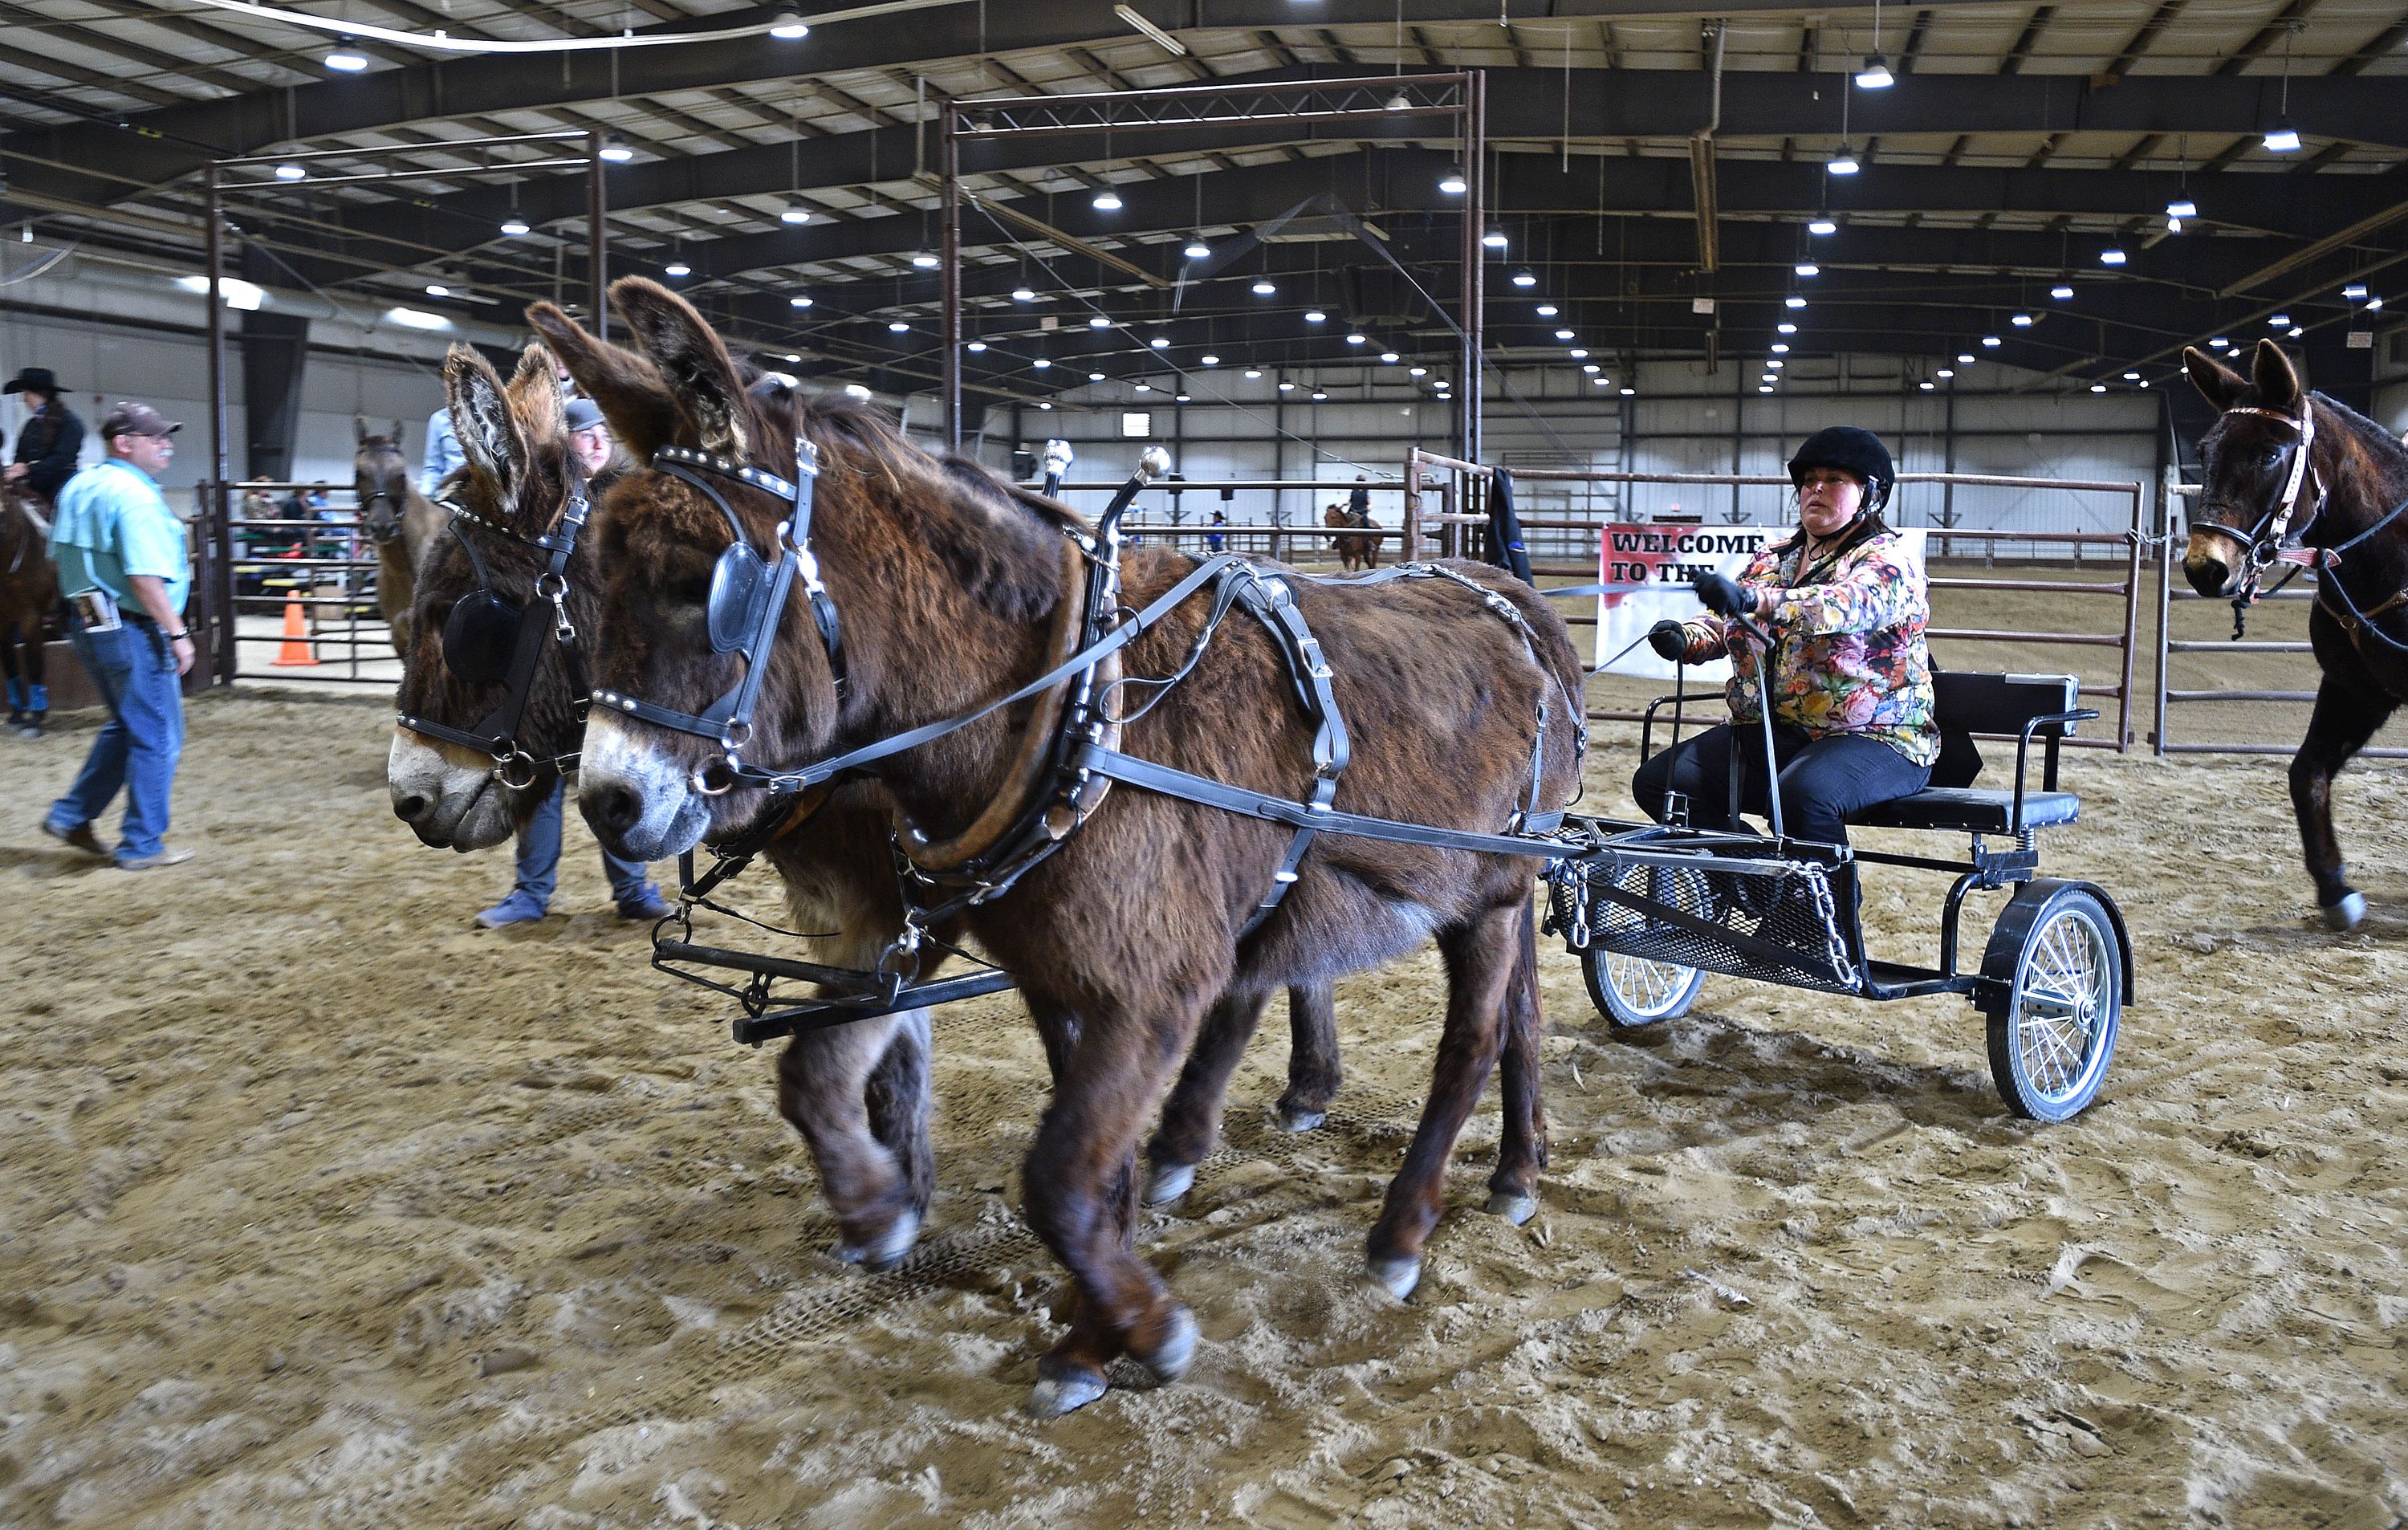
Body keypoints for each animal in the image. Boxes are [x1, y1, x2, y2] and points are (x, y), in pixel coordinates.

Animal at [2186, 340, 2408, 930]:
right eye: (2204, 451)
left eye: (2268, 454)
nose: (2203, 567)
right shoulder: (2355, 688)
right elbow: (2306, 773)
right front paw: (2335, 889)